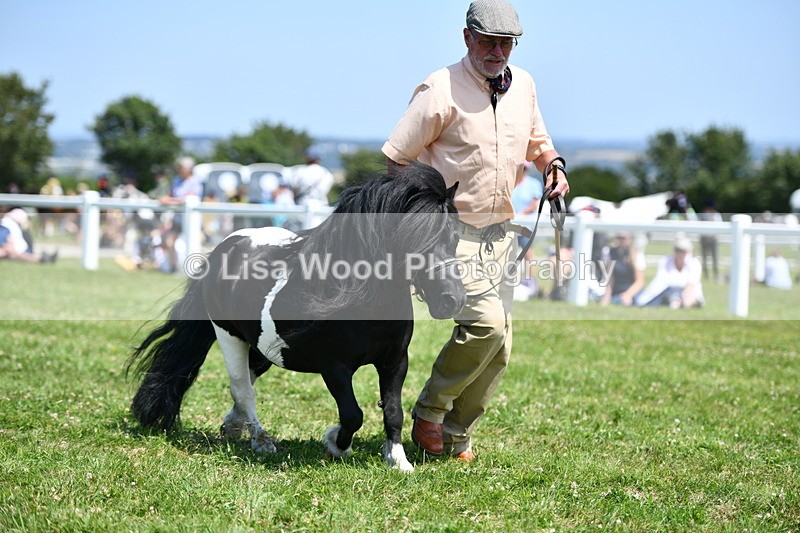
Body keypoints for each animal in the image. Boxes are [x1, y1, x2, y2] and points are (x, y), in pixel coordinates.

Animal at [127, 163, 466, 472]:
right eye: (414, 238)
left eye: (455, 236)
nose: (453, 300)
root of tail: (225, 246)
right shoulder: (334, 367)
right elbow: (352, 414)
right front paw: (336, 443)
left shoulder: (395, 361)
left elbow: (394, 411)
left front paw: (398, 460)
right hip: (228, 335)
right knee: (242, 388)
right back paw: (261, 440)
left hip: (262, 346)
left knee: (248, 380)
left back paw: (233, 426)